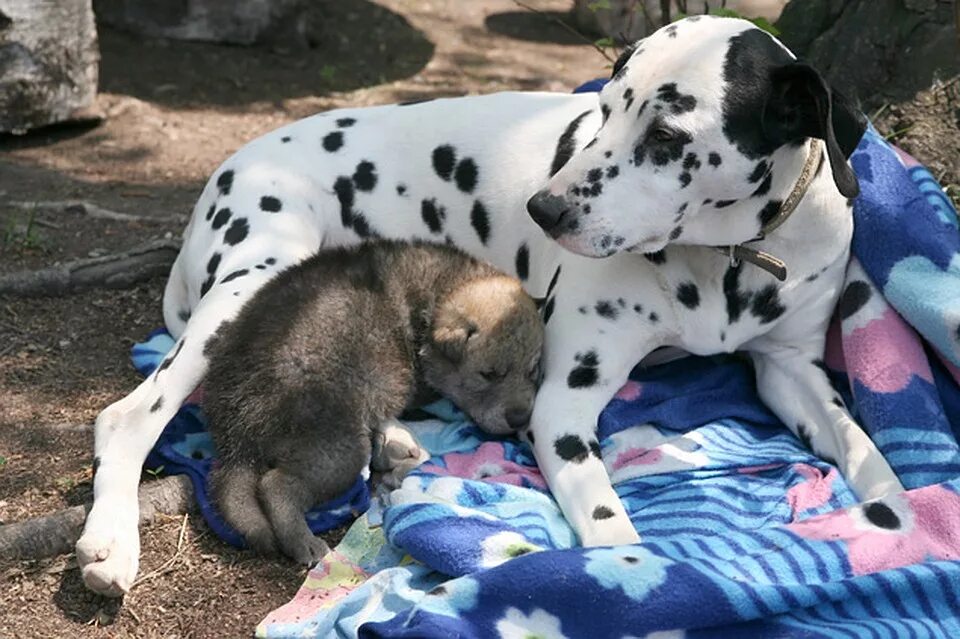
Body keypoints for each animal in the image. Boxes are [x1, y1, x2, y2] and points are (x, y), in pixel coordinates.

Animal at [203, 240, 544, 564]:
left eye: (532, 370)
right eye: (489, 374)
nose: (520, 418)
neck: (437, 297)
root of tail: (236, 425)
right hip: (338, 449)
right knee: (275, 485)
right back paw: (302, 542)